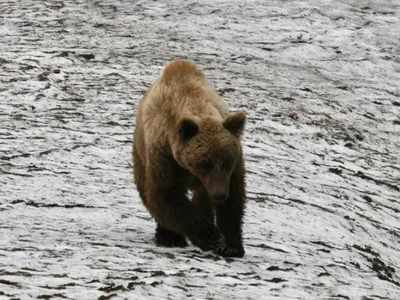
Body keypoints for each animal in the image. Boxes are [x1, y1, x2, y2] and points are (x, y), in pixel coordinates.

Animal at [133, 59, 245, 256]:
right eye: (204, 163)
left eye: (226, 162)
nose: (220, 194)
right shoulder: (164, 157)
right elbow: (166, 194)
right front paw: (211, 238)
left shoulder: (232, 168)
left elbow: (234, 200)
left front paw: (232, 245)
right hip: (141, 154)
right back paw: (169, 236)